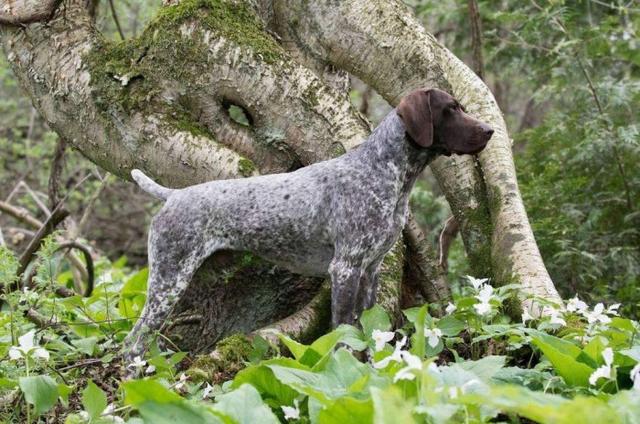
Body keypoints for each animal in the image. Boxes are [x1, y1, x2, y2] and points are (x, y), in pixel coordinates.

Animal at [125, 88, 496, 360]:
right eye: (451, 109)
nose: (490, 130)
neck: (384, 171)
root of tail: (174, 195)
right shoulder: (345, 269)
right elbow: (343, 332)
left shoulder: (370, 270)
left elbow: (368, 331)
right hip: (168, 281)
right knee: (133, 341)